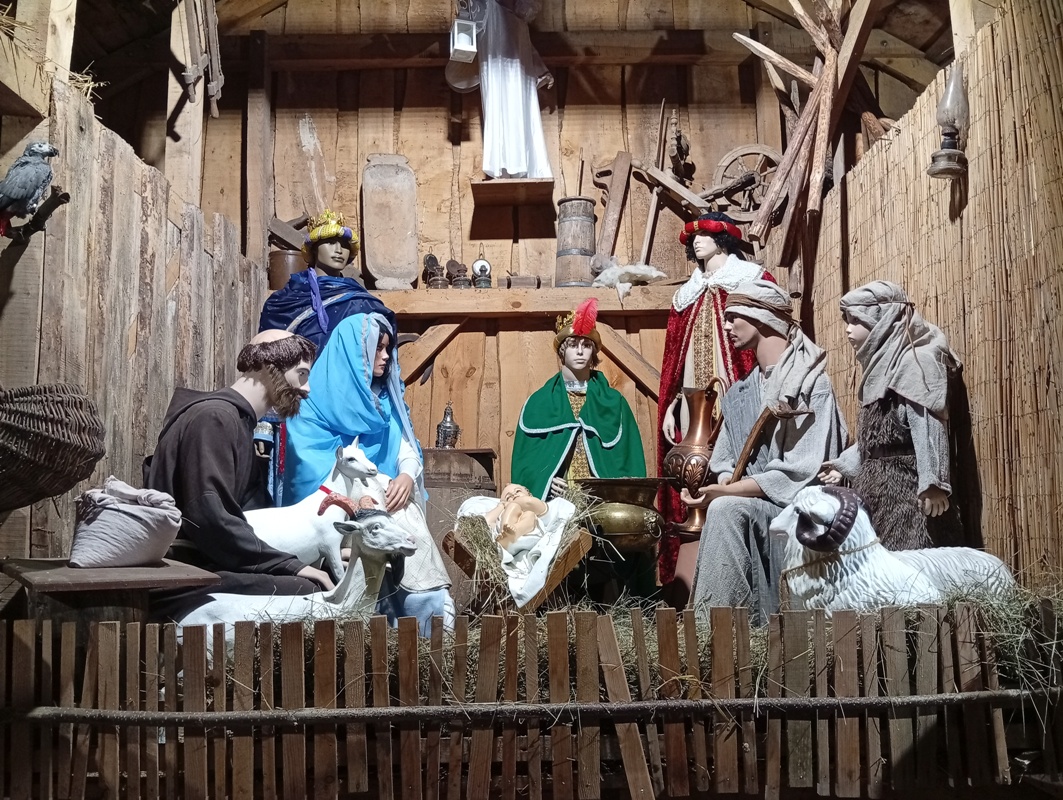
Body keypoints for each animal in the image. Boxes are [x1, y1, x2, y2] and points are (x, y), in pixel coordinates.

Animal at [245, 443, 379, 582]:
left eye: (362, 453)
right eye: (351, 459)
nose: (373, 470)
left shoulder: (318, 556)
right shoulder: (331, 546)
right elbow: (339, 575)